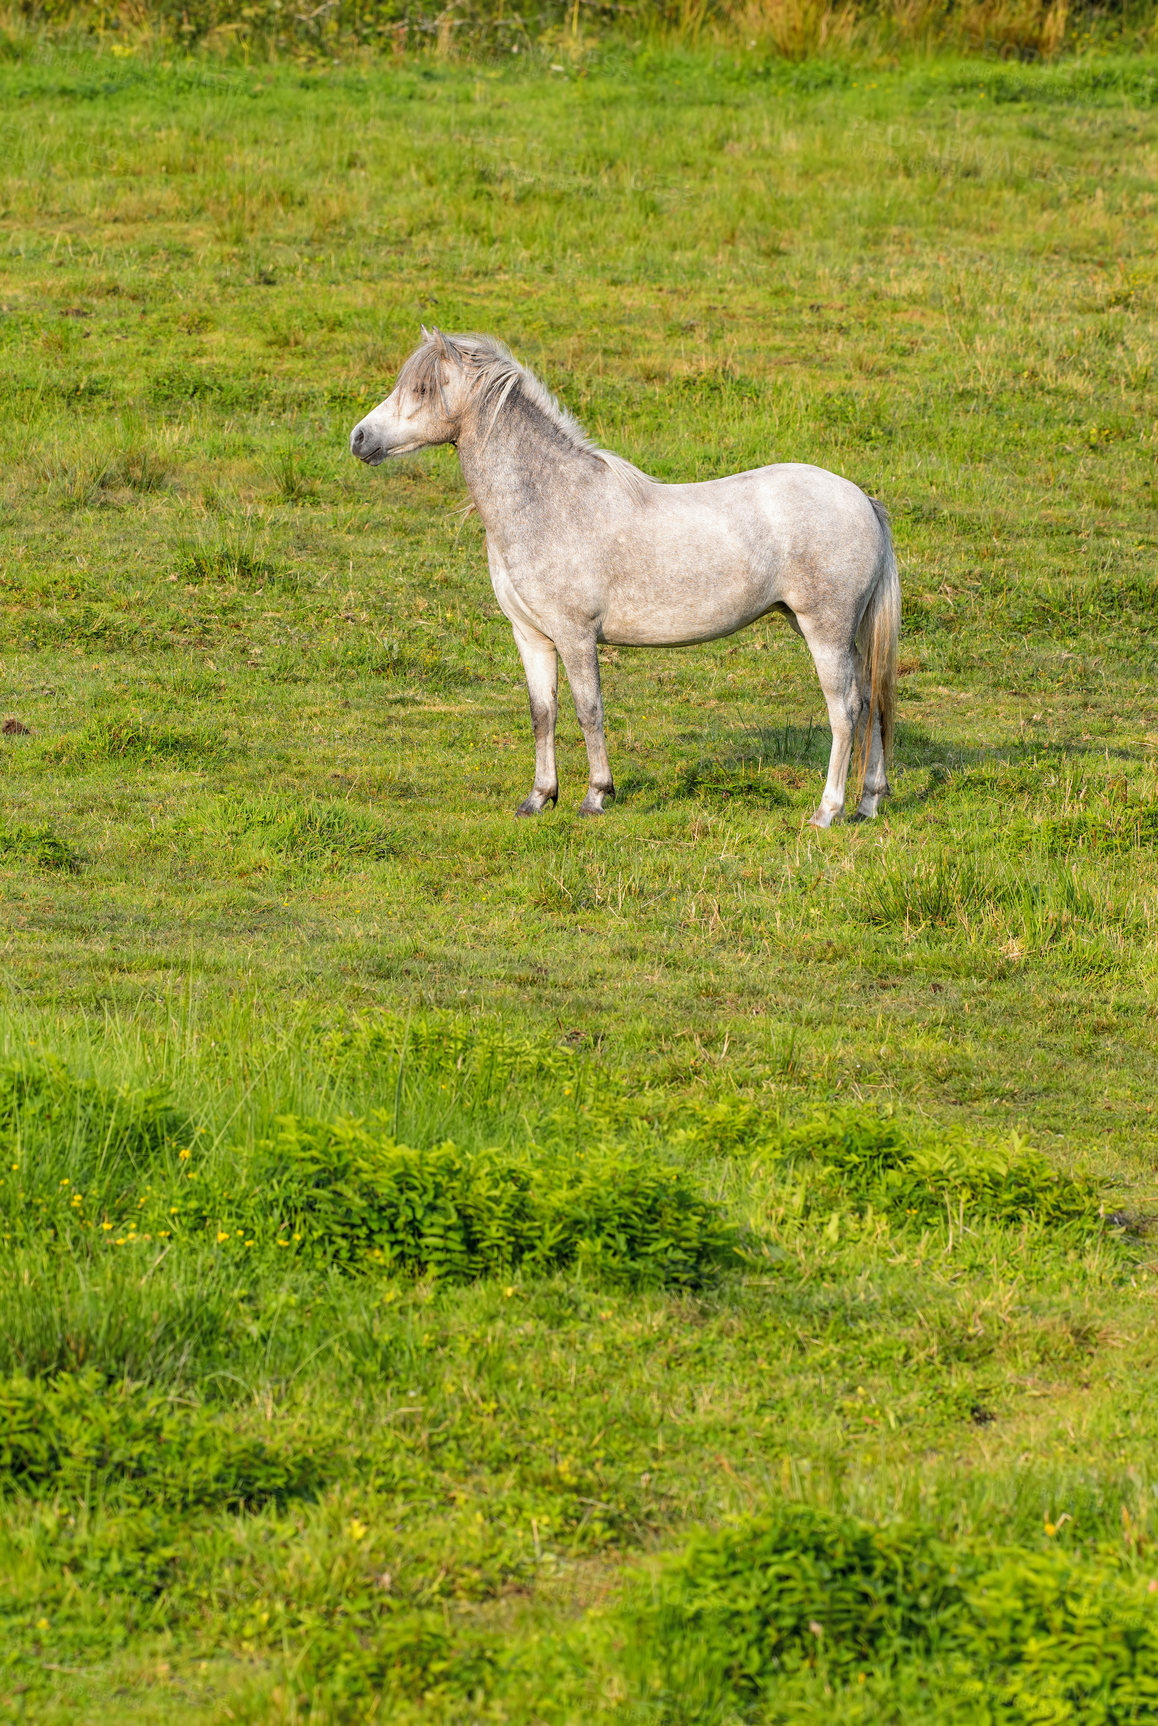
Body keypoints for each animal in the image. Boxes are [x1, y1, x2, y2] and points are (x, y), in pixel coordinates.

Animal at [348, 333, 904, 831]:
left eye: (422, 389)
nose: (359, 438)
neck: (553, 500)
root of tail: (862, 500)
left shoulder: (575, 636)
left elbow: (588, 710)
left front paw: (596, 797)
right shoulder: (531, 637)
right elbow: (543, 714)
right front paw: (538, 799)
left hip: (825, 630)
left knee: (844, 709)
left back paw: (827, 811)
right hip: (831, 631)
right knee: (871, 701)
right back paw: (868, 804)